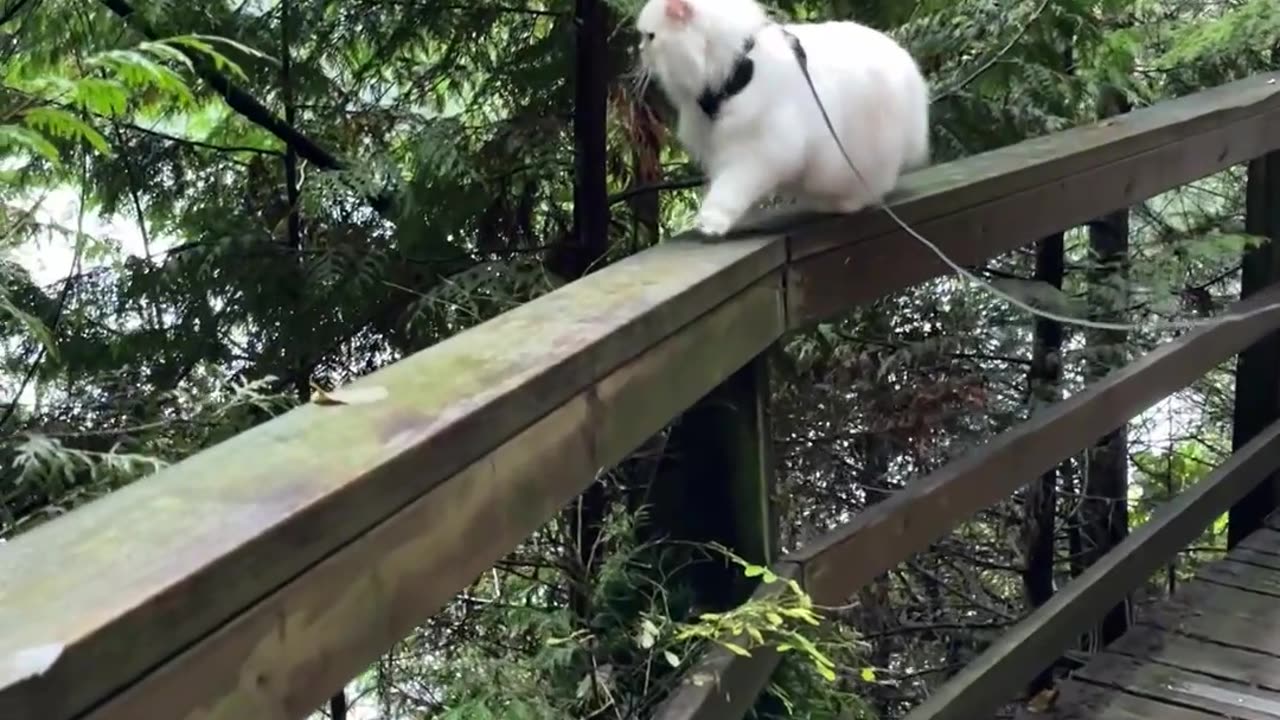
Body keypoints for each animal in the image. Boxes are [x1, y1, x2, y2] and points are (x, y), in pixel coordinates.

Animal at [637, 0, 931, 235]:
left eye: (651, 37)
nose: (639, 49)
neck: (736, 66)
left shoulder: (761, 151)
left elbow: (731, 187)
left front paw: (711, 222)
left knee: (872, 186)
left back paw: (843, 204)